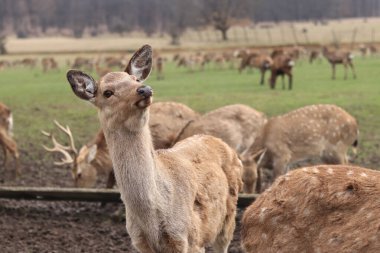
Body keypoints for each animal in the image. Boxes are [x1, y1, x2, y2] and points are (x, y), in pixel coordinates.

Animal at [65, 45, 242, 253]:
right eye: (107, 92)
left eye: (135, 79)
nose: (144, 89)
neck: (151, 220)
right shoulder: (140, 241)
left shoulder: (190, 238)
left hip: (227, 220)